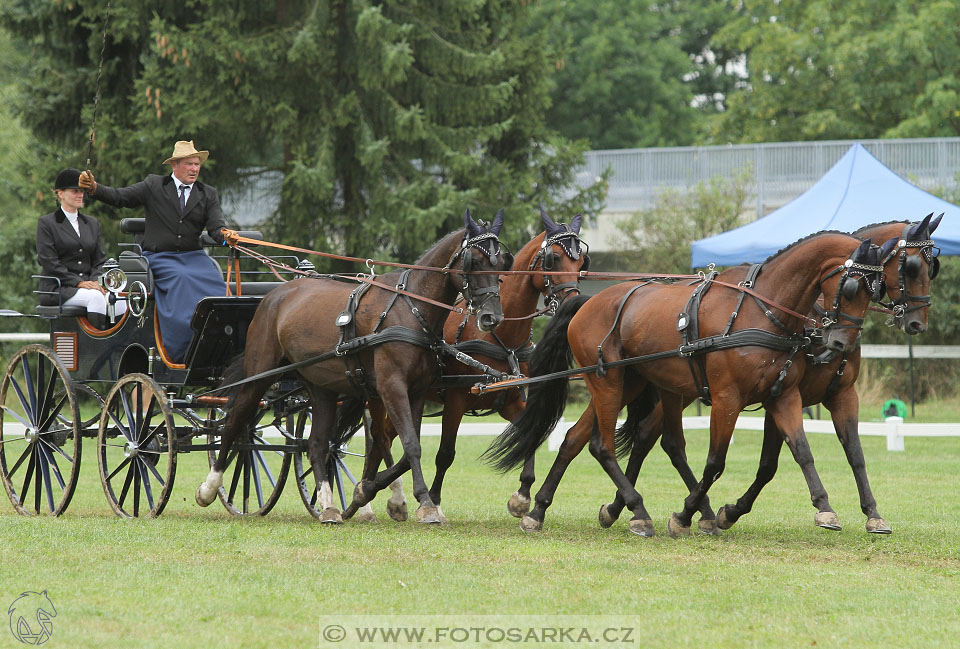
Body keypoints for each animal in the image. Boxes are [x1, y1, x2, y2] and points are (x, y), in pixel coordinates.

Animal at [194, 210, 510, 524]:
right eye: (474, 261)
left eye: (501, 263)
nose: (492, 318)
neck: (411, 308)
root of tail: (275, 294)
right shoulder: (392, 386)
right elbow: (410, 444)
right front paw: (424, 502)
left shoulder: (417, 391)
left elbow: (406, 450)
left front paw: (366, 490)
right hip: (259, 373)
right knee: (236, 422)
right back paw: (209, 487)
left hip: (320, 388)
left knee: (317, 444)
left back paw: (328, 507)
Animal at [342, 208, 588, 520]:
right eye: (553, 258)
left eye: (580, 261)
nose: (573, 301)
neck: (502, 339)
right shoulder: (456, 398)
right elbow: (445, 454)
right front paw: (433, 501)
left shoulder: (509, 400)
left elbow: (530, 434)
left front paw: (521, 496)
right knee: (380, 437)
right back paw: (379, 495)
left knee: (381, 439)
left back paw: (367, 496)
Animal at [488, 230, 884, 536]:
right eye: (851, 287)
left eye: (874, 290)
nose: (841, 344)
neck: (762, 311)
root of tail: (587, 302)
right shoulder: (726, 399)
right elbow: (715, 462)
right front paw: (686, 515)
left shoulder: (783, 396)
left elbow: (801, 450)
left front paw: (826, 507)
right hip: (608, 382)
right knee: (603, 446)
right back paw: (638, 511)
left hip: (630, 384)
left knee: (575, 439)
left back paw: (539, 511)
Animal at [596, 213, 940, 532]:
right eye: (911, 267)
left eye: (931, 268)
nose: (917, 323)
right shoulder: (778, 396)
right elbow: (772, 462)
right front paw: (730, 512)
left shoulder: (838, 394)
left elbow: (852, 454)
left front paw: (872, 514)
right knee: (652, 439)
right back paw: (648, 510)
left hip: (680, 388)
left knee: (649, 437)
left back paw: (638, 508)